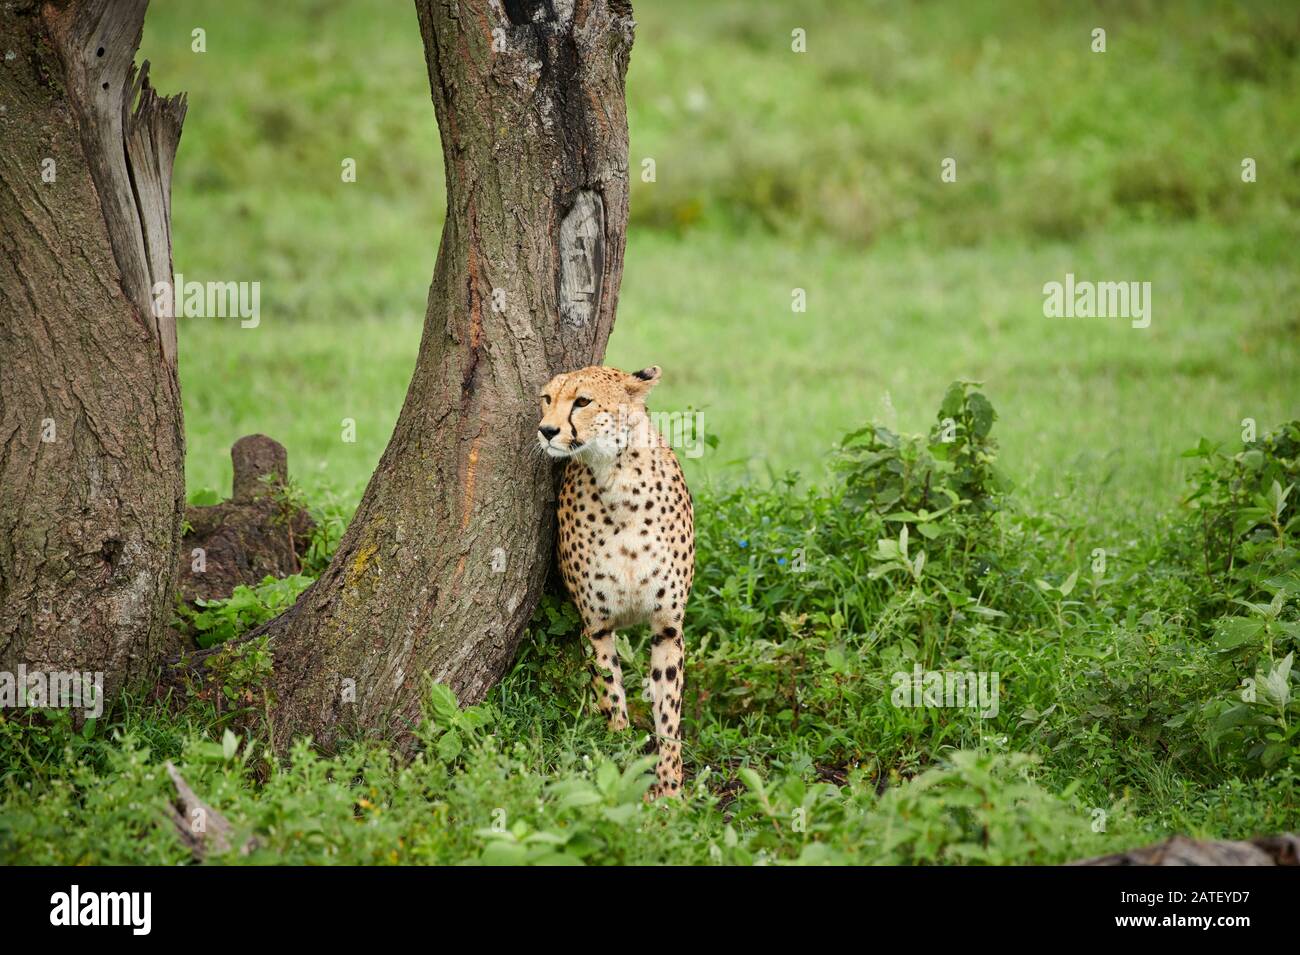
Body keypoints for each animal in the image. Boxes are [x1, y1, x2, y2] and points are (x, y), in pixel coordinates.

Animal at [535, 366, 696, 800]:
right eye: (546, 399)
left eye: (582, 401)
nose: (546, 430)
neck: (619, 479)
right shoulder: (597, 627)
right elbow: (611, 695)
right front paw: (623, 764)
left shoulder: (668, 628)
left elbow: (669, 714)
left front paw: (670, 790)